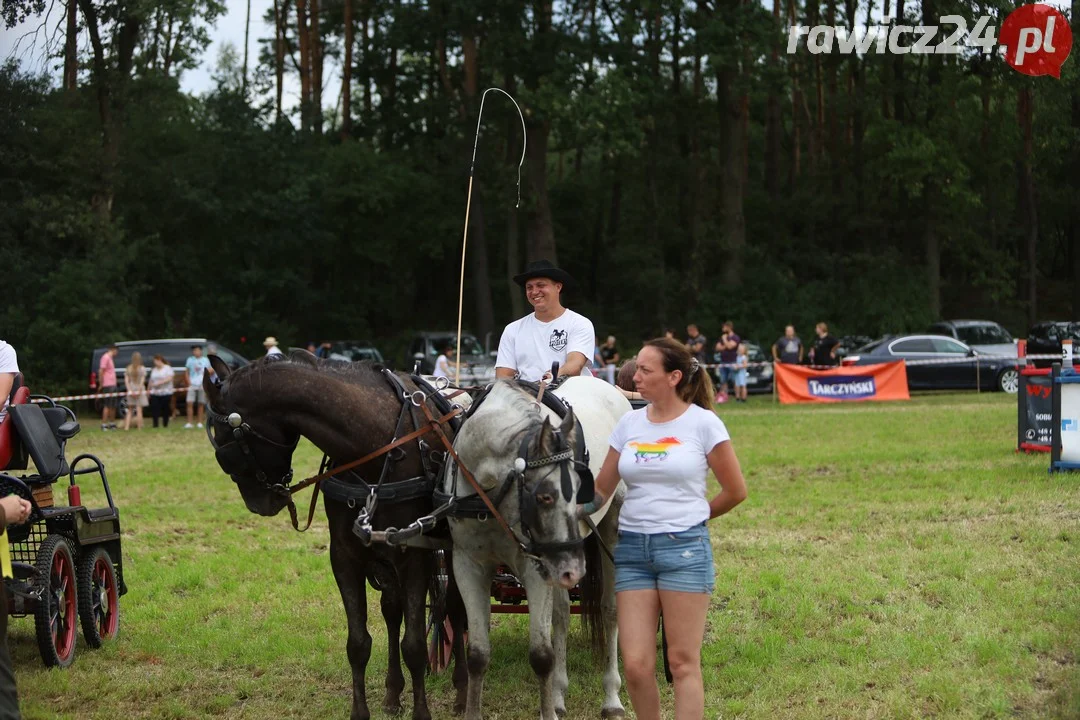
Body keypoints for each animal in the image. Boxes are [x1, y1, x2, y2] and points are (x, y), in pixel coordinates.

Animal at [204, 354, 466, 720]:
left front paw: (422, 711)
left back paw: (462, 690)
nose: (259, 503)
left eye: (226, 444)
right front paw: (363, 709)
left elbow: (414, 644)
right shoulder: (345, 556)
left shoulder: (414, 555)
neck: (377, 441)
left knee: (456, 608)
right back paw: (393, 692)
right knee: (393, 611)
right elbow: (358, 643)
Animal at [444, 377, 630, 720]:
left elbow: (542, 655)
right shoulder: (467, 564)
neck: (489, 497)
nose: (575, 569)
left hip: (610, 527)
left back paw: (611, 697)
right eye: (544, 496)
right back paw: (558, 693)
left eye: (580, 491)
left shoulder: (535, 567)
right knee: (561, 615)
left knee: (610, 611)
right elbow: (478, 653)